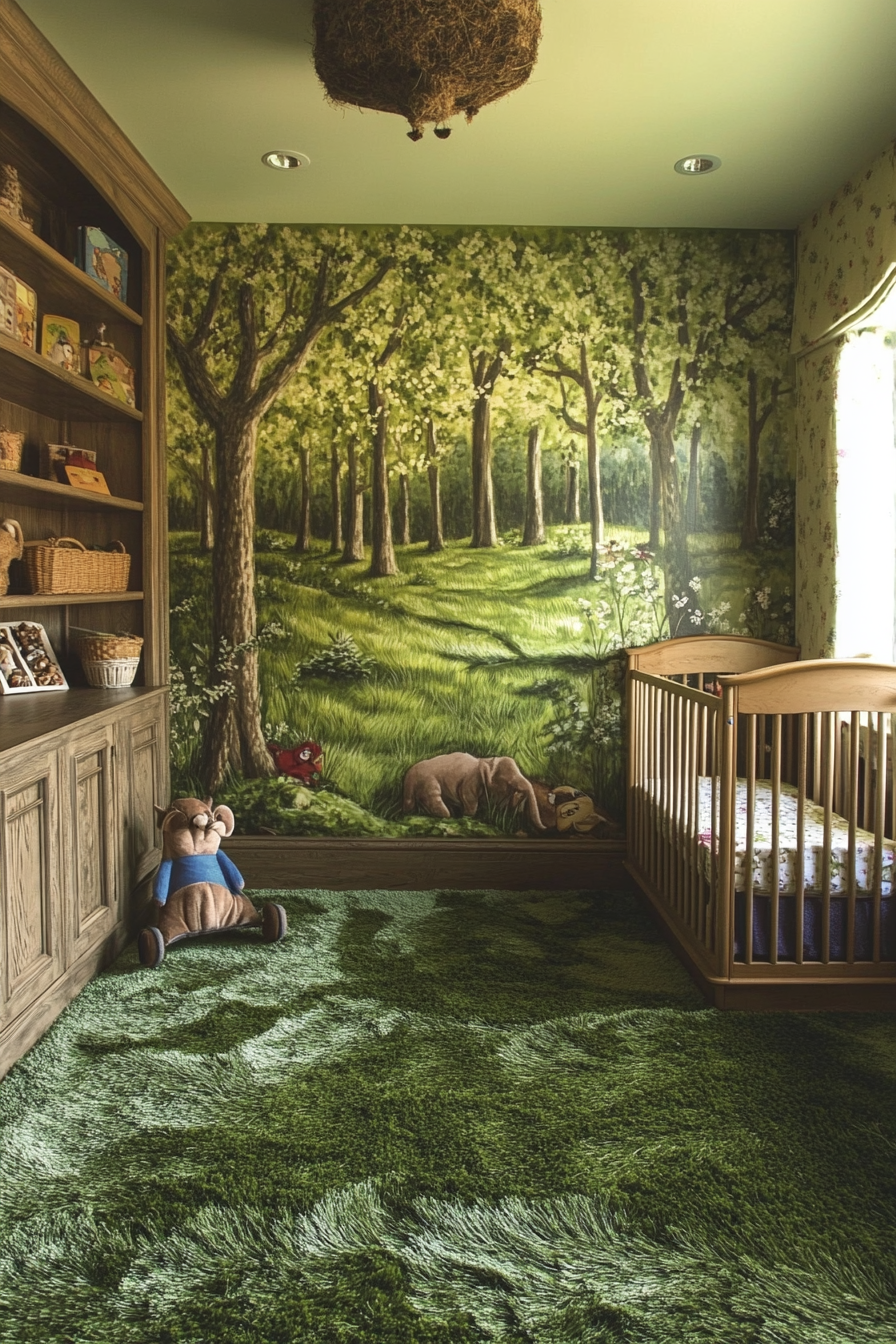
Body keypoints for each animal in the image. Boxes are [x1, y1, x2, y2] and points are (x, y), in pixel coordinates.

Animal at [405, 752, 548, 833]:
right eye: (509, 782)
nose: (546, 828)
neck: (485, 762)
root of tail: (409, 776)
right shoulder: (470, 782)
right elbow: (469, 801)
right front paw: (468, 818)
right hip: (428, 783)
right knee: (435, 800)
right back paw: (447, 816)